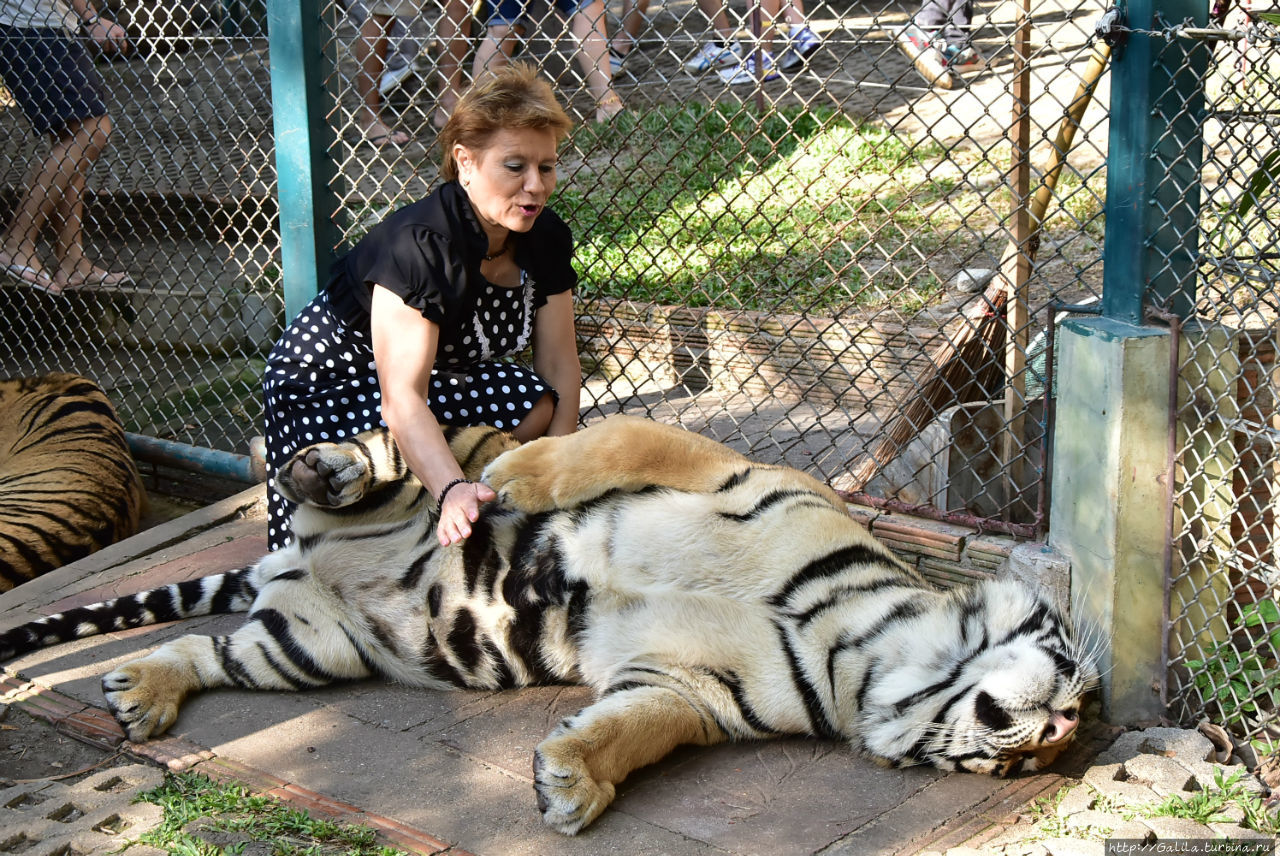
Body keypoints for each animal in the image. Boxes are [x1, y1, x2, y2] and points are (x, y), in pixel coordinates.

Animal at [2, 417, 1100, 829]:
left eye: (1032, 762)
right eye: (1074, 684)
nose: (1056, 730)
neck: (871, 656)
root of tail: (291, 561)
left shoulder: (691, 688)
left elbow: (635, 725)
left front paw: (572, 784)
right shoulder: (736, 477)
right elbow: (610, 441)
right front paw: (509, 479)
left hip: (303, 649)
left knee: (204, 646)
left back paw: (139, 689)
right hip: (374, 491)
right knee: (356, 453)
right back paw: (332, 469)